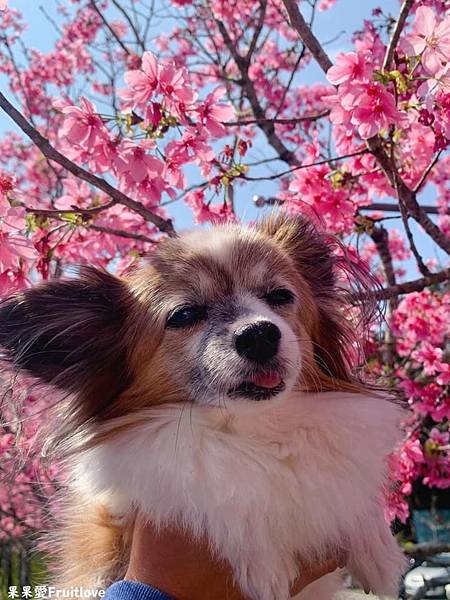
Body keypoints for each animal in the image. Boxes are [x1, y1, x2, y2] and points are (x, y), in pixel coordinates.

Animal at [0, 216, 406, 600]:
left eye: (279, 295)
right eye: (184, 315)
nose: (260, 334)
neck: (255, 427)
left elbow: (347, 490)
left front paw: (378, 550)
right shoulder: (114, 522)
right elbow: (221, 499)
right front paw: (264, 565)